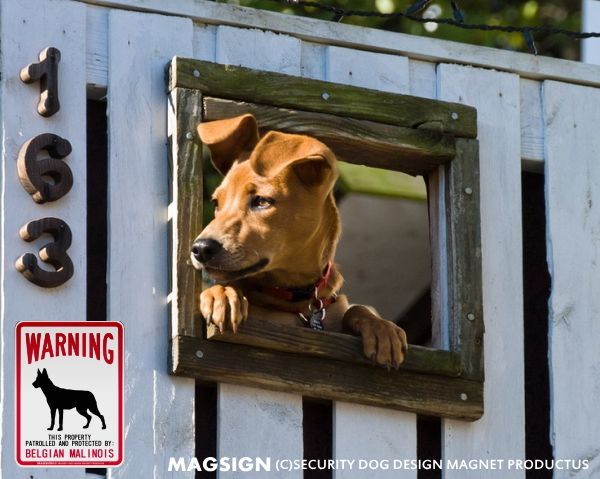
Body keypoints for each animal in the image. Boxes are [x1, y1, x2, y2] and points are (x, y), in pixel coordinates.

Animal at [192, 114, 408, 370]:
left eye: (262, 201)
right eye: (217, 203)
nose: (200, 249)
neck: (297, 301)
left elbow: (355, 308)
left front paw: (382, 328)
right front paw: (222, 295)